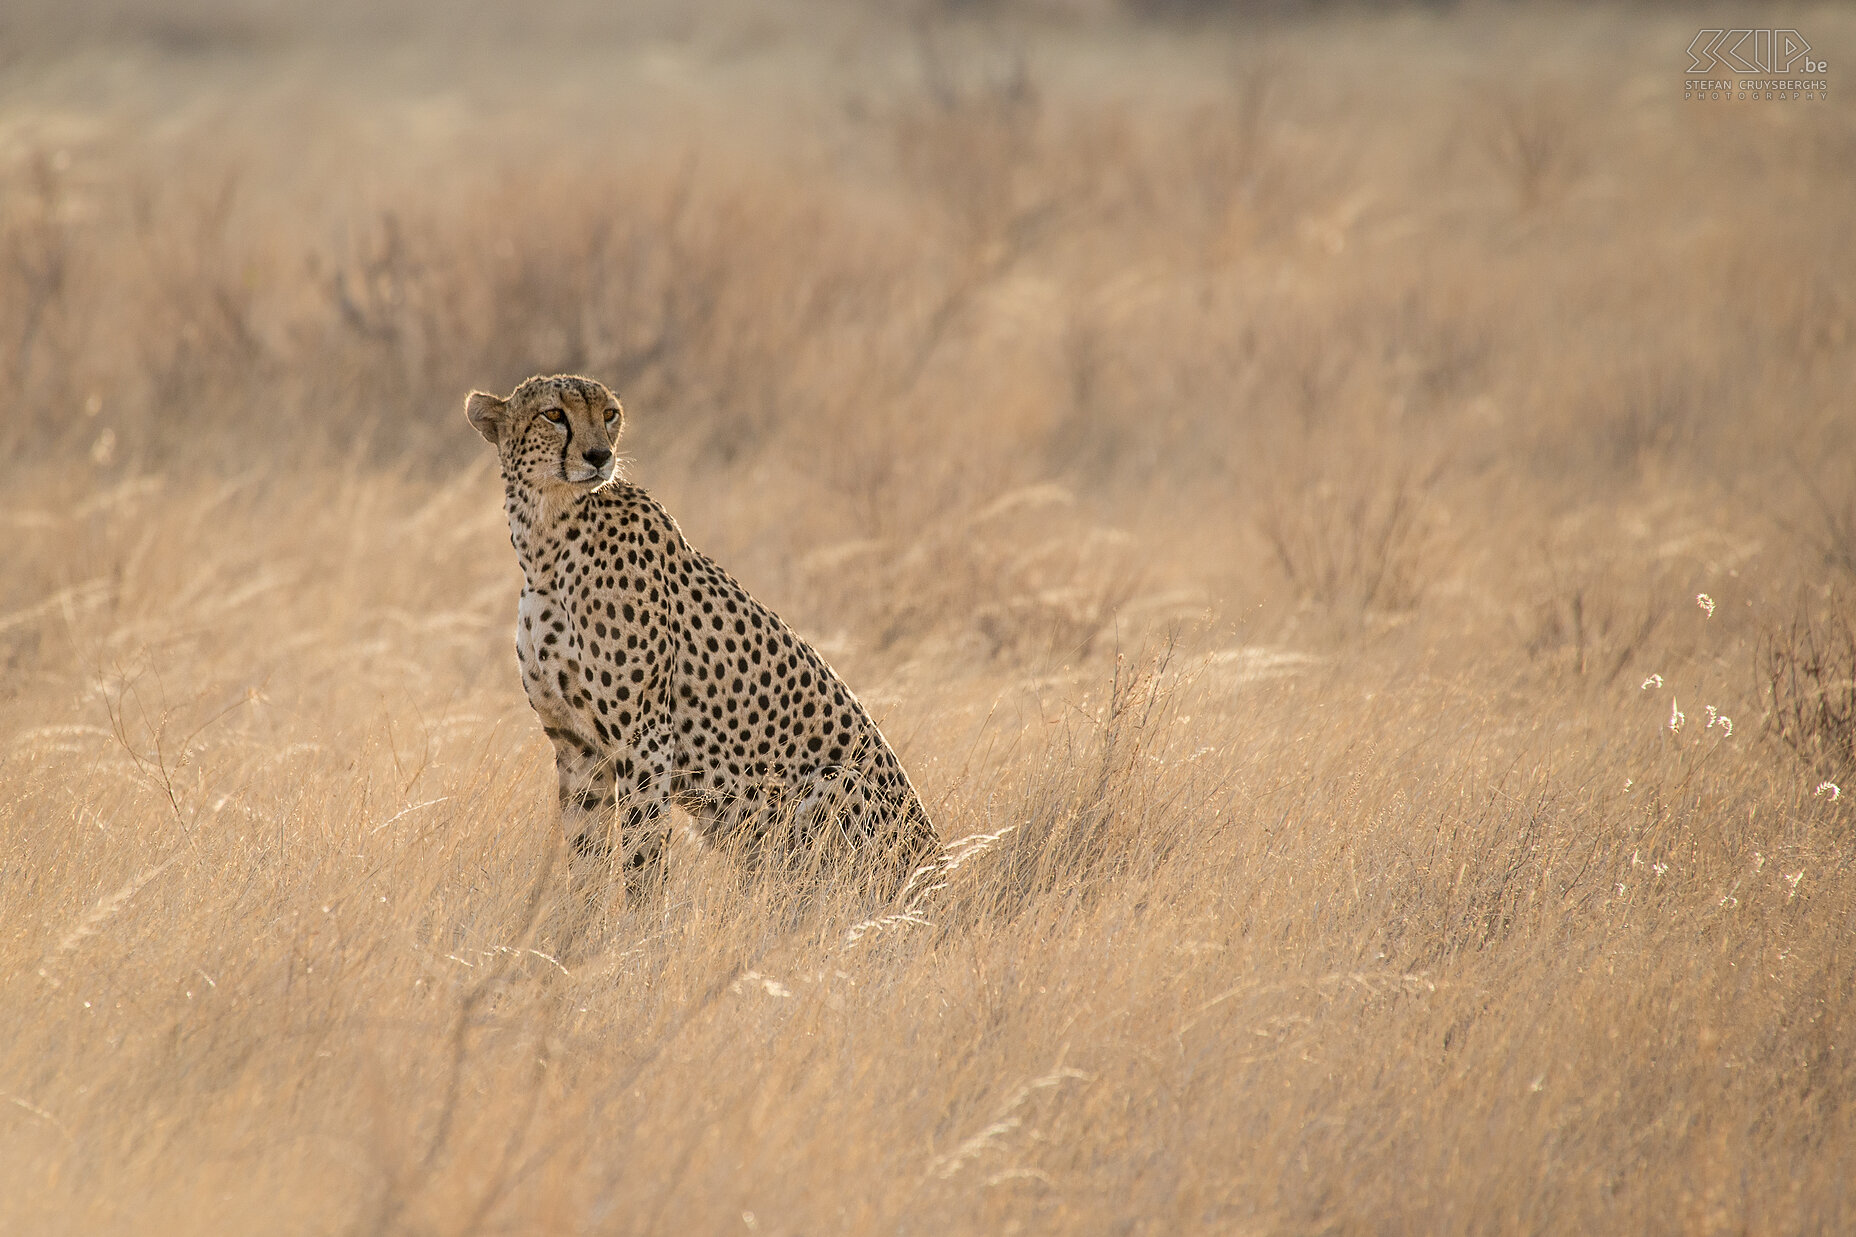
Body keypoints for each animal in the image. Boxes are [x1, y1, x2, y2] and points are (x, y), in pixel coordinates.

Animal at [464, 371, 942, 902]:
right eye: (553, 414)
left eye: (609, 414)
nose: (599, 455)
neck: (546, 536)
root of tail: (942, 870)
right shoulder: (575, 744)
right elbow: (586, 857)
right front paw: (579, 921)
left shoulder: (645, 735)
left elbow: (642, 851)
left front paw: (639, 921)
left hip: (835, 781)